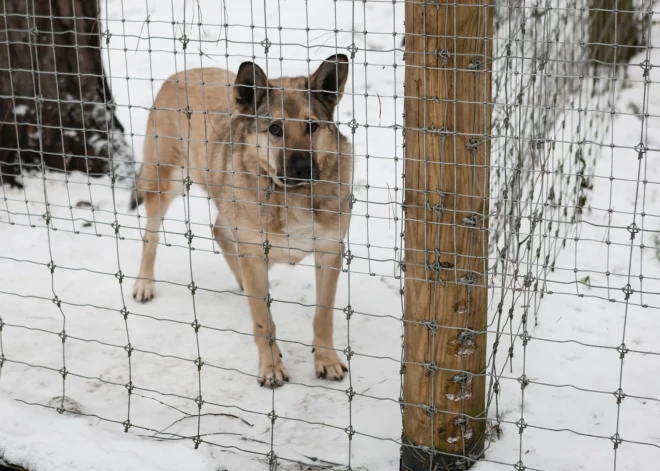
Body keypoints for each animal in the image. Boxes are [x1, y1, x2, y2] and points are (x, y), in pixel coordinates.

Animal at [131, 54, 354, 388]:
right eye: (274, 129)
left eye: (312, 126)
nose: (303, 169)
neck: (291, 196)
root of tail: (182, 72)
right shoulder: (254, 251)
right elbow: (263, 322)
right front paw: (271, 368)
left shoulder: (329, 253)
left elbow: (323, 315)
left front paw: (326, 360)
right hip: (165, 182)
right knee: (151, 234)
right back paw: (144, 283)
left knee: (221, 232)